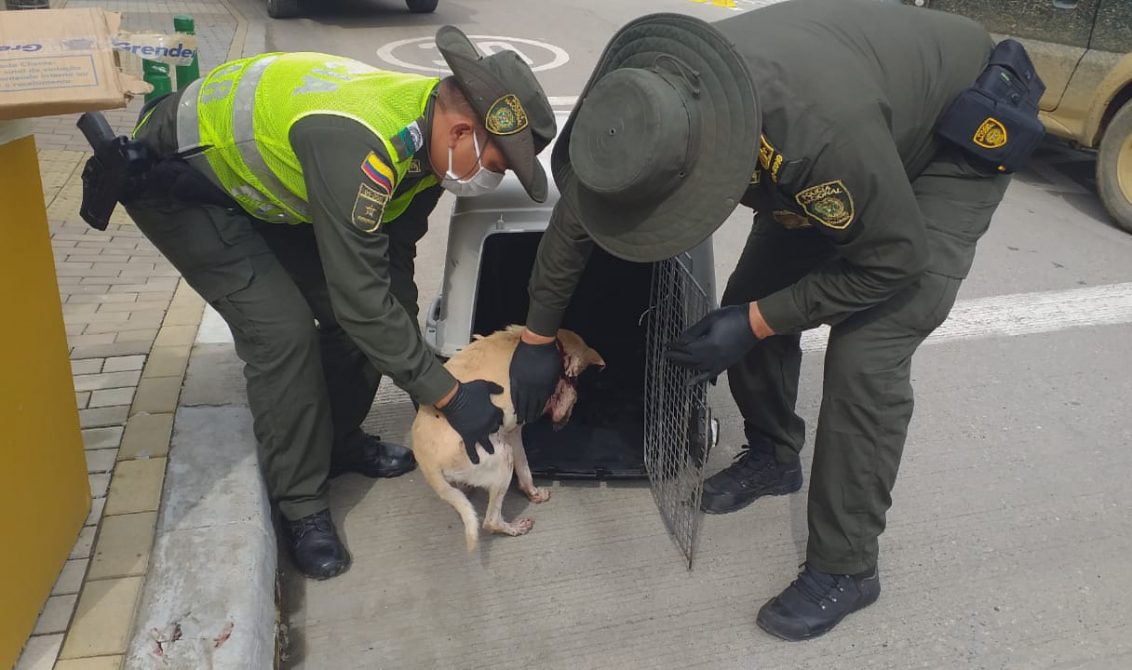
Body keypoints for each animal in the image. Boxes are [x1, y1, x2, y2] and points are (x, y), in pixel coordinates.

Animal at [412, 323, 606, 550]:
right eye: (574, 380)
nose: (563, 420)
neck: (557, 345)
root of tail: (427, 465)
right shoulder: (514, 433)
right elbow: (525, 470)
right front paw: (533, 493)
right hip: (503, 457)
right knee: (490, 521)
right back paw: (512, 528)